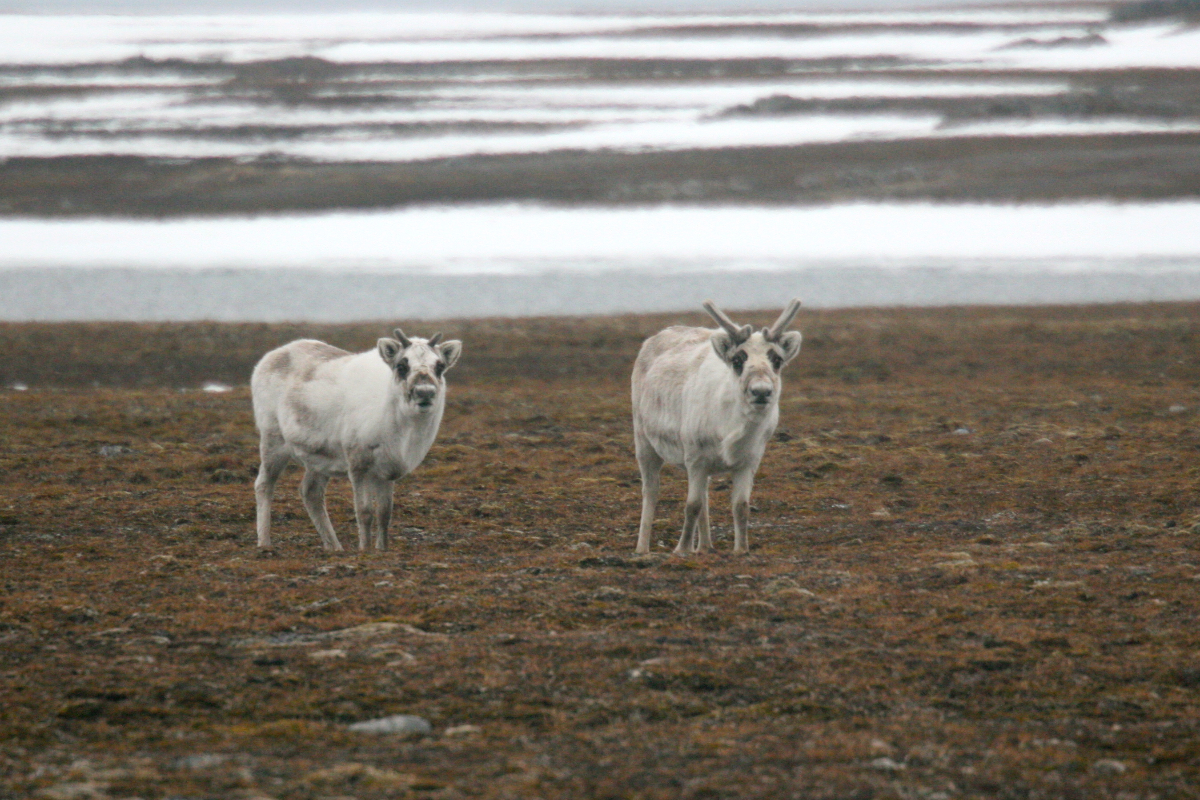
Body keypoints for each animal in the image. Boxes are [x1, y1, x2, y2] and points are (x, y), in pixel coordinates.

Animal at [250, 328, 462, 551]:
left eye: (440, 366)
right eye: (401, 366)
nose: (425, 392)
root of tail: (267, 359)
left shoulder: (388, 471)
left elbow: (384, 513)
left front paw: (382, 549)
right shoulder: (358, 466)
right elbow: (364, 512)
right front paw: (364, 549)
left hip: (318, 459)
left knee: (310, 492)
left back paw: (335, 547)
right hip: (273, 442)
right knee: (264, 484)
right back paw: (264, 543)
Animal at [631, 299, 802, 555]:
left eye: (777, 360)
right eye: (738, 359)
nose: (761, 391)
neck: (731, 426)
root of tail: (653, 339)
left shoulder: (748, 461)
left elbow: (741, 506)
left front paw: (741, 549)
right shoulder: (694, 457)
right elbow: (691, 506)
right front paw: (681, 549)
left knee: (704, 495)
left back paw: (705, 546)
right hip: (644, 440)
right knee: (651, 491)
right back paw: (642, 548)